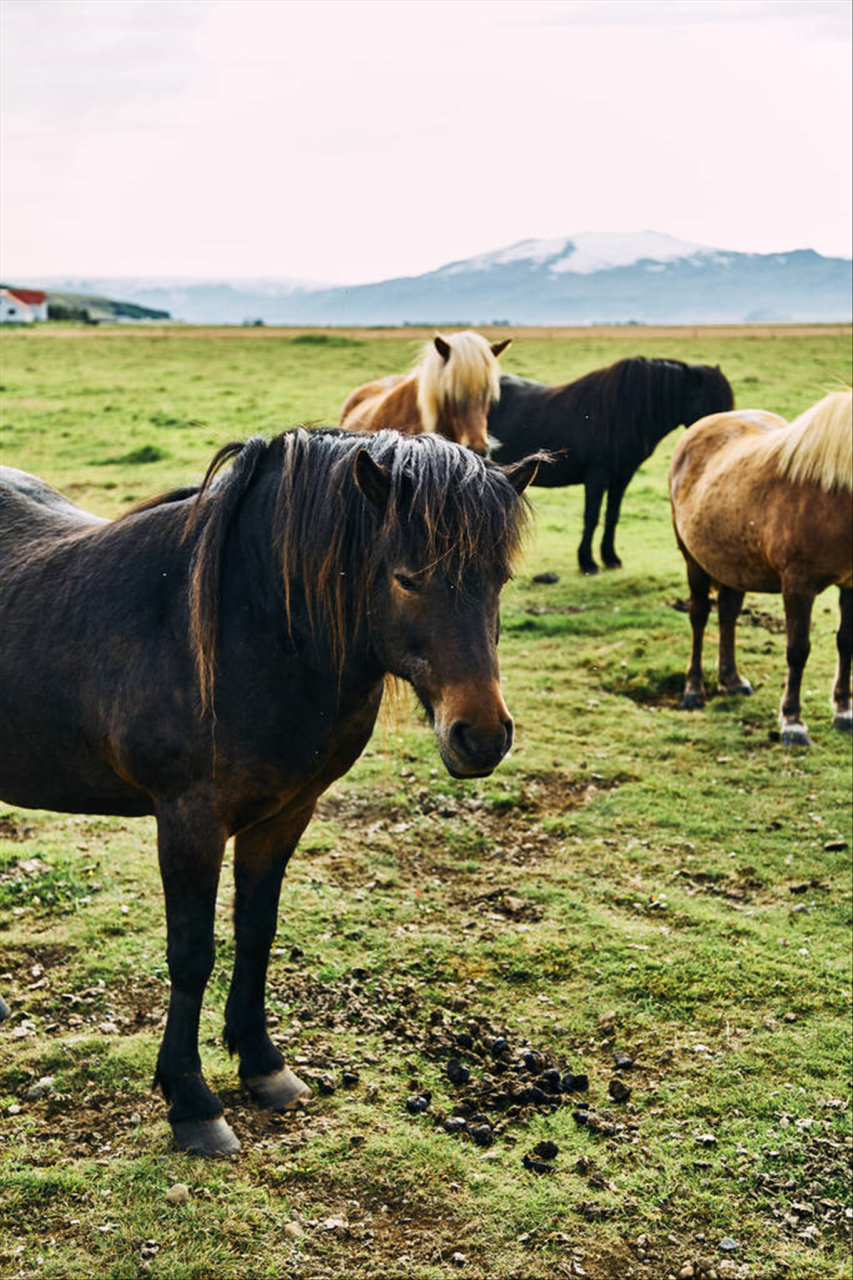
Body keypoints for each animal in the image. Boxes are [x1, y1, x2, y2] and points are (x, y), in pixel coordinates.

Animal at [0, 430, 535, 1162]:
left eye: (499, 580)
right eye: (406, 577)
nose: (480, 736)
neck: (244, 633)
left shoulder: (284, 815)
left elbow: (256, 931)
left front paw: (262, 1064)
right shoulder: (189, 822)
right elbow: (191, 955)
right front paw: (192, 1101)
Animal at [484, 360, 732, 581]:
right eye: (710, 404)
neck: (623, 414)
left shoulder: (622, 477)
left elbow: (612, 515)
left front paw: (610, 558)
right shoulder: (597, 476)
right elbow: (592, 516)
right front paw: (588, 562)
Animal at [666, 391, 845, 747]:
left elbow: (847, 643)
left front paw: (844, 713)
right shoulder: (798, 585)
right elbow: (797, 650)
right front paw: (793, 723)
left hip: (733, 565)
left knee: (728, 613)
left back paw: (731, 680)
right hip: (694, 562)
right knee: (699, 617)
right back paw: (693, 690)